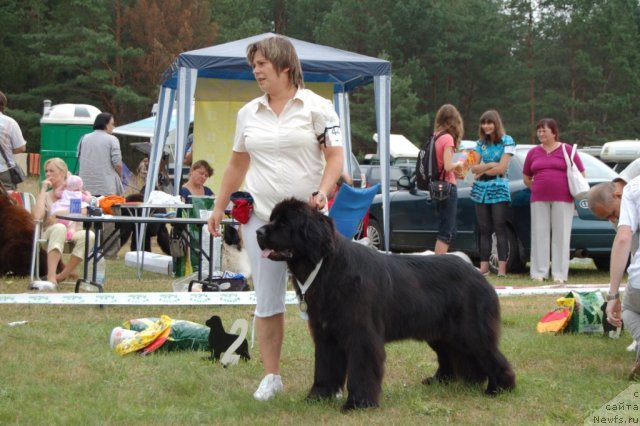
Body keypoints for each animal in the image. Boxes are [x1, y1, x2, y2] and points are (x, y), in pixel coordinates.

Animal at [255, 198, 516, 412]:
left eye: (285, 223)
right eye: (272, 219)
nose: (258, 231)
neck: (326, 267)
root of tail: (478, 273)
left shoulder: (361, 334)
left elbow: (361, 369)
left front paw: (358, 403)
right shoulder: (326, 333)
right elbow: (324, 367)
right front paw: (318, 397)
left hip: (470, 329)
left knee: (490, 354)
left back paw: (499, 387)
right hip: (442, 332)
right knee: (452, 355)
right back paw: (447, 381)